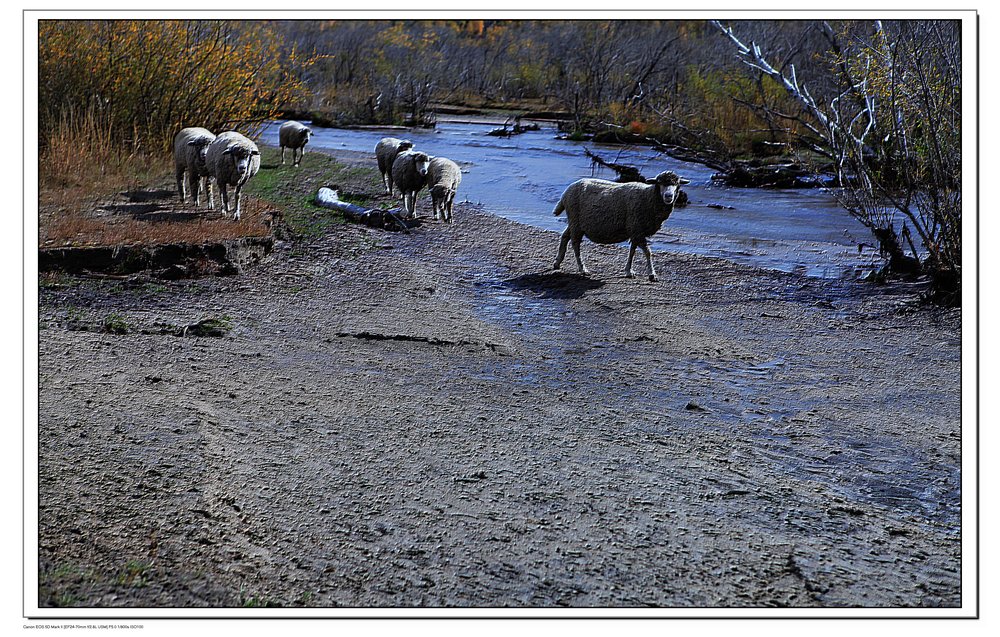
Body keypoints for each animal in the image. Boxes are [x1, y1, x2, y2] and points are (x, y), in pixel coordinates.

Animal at [552, 170, 692, 280]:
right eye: (660, 183)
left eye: (677, 184)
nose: (668, 196)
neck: (648, 197)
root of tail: (566, 192)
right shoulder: (636, 228)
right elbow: (648, 252)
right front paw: (652, 274)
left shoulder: (635, 230)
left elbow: (632, 251)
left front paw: (629, 271)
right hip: (576, 221)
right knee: (575, 243)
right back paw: (582, 269)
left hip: (575, 221)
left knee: (565, 236)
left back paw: (557, 262)